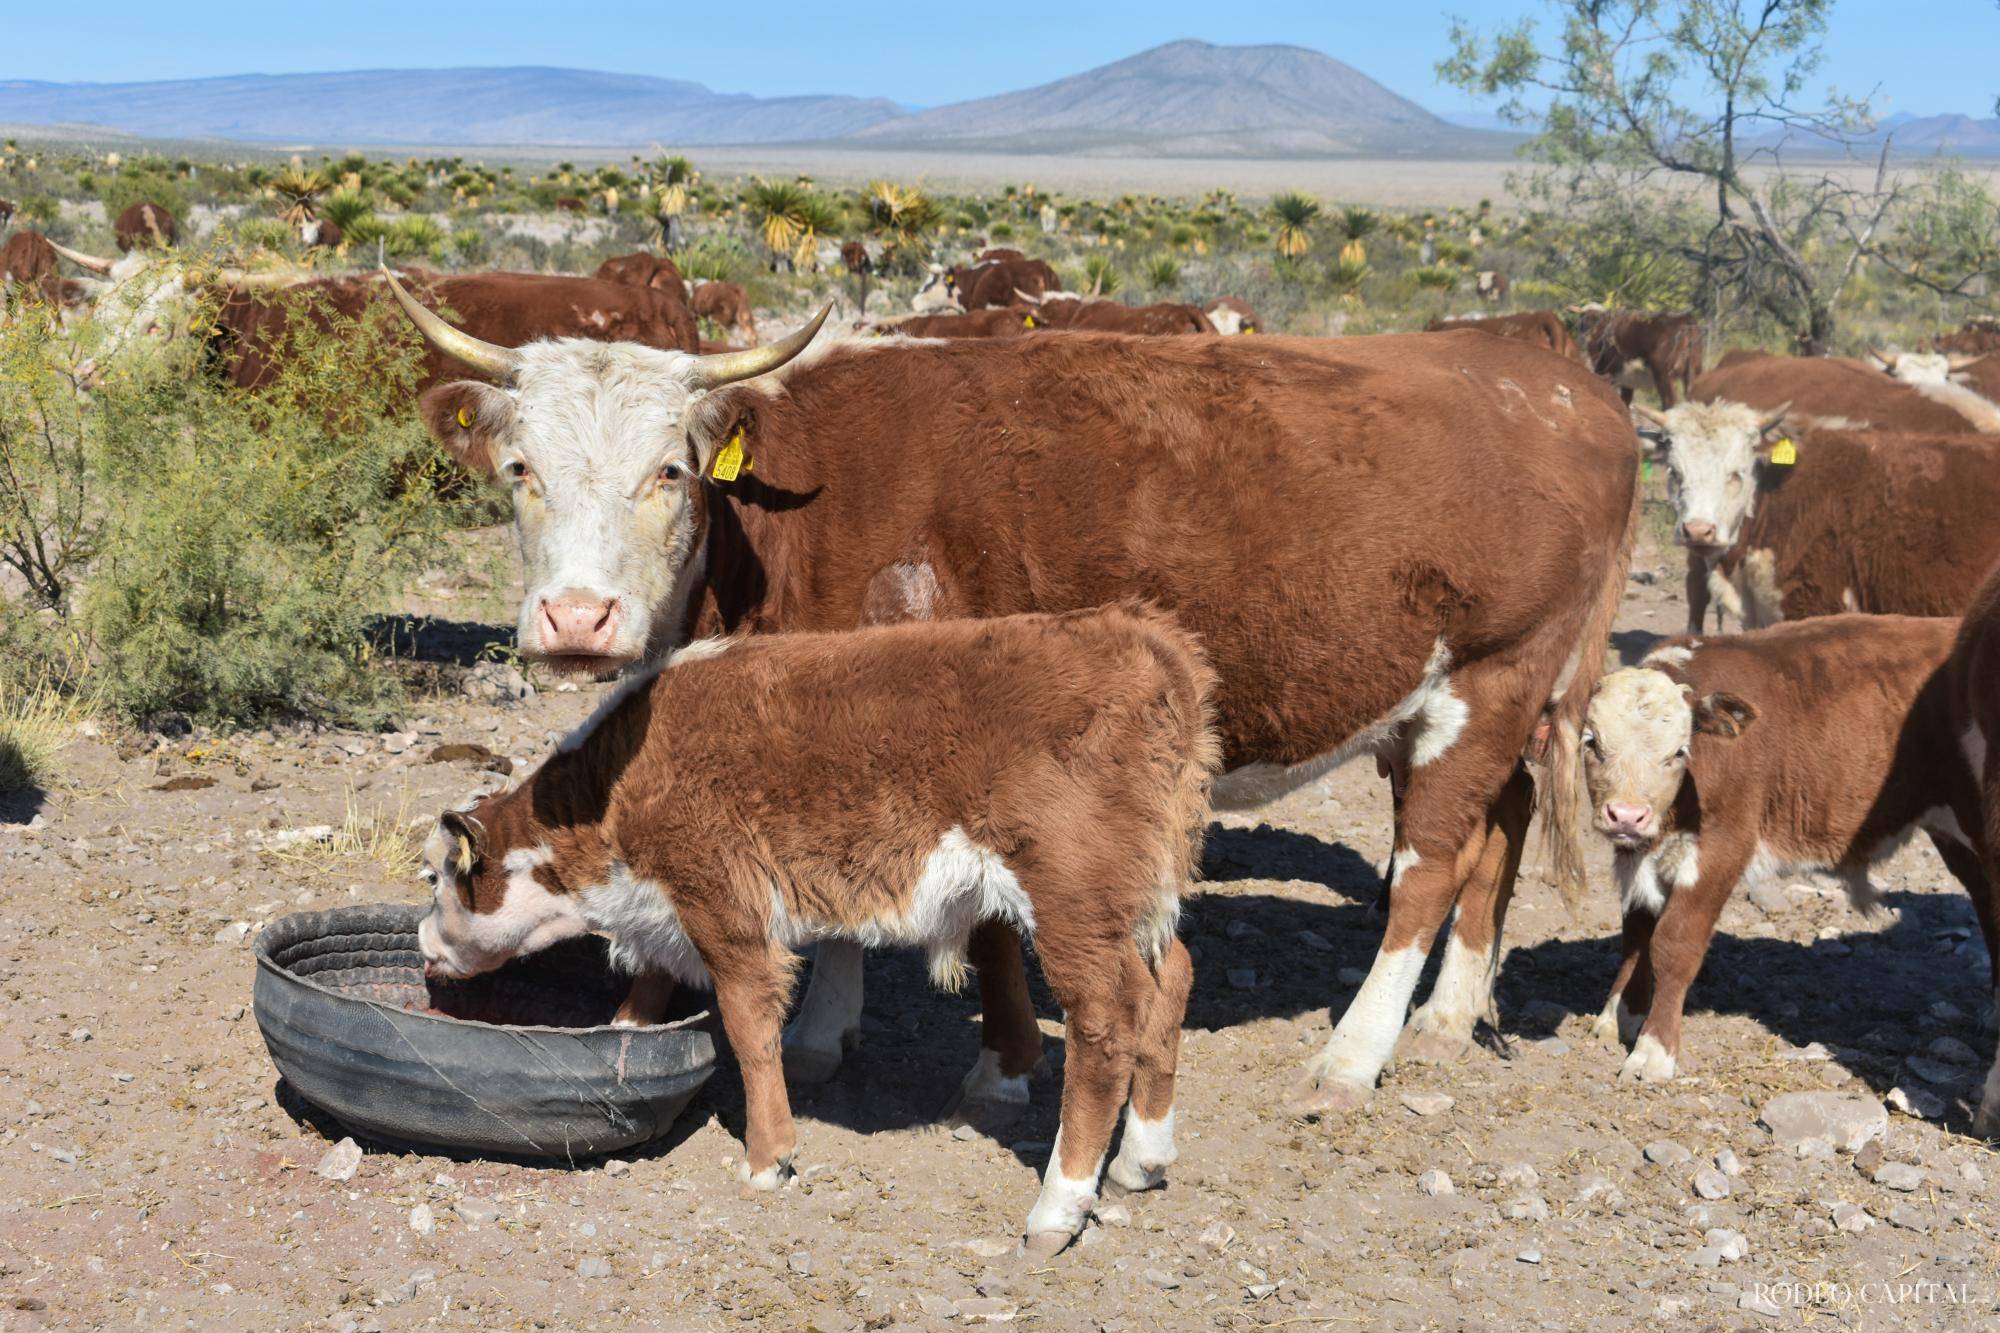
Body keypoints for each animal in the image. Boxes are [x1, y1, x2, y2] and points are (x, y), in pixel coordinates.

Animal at [418, 600, 1216, 1248]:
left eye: (437, 877)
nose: (424, 941)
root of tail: (1137, 636)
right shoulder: (667, 906)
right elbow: (648, 990)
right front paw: (625, 1032)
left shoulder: (721, 899)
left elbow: (748, 1025)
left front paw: (768, 1157)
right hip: (1138, 897)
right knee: (1171, 979)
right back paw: (1142, 1158)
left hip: (1073, 896)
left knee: (1107, 1021)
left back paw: (1058, 1207)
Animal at [1576, 616, 2000, 1128]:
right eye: (1591, 742)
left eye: (1679, 752)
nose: (1627, 815)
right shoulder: (1638, 856)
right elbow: (1636, 935)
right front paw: (1618, 1014)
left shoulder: (1723, 848)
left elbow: (1673, 944)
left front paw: (1652, 1052)